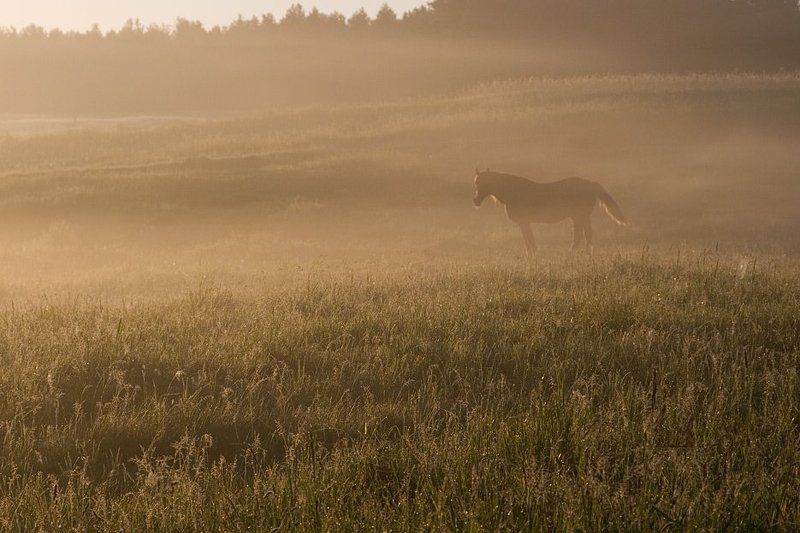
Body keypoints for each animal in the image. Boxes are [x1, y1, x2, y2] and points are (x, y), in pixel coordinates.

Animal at [472, 169, 628, 254]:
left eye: (480, 183)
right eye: (476, 183)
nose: (475, 201)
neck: (513, 192)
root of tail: (590, 184)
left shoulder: (524, 222)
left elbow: (529, 240)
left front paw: (532, 255)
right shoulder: (524, 223)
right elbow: (528, 239)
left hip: (580, 216)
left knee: (585, 234)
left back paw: (582, 253)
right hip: (577, 217)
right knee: (582, 234)